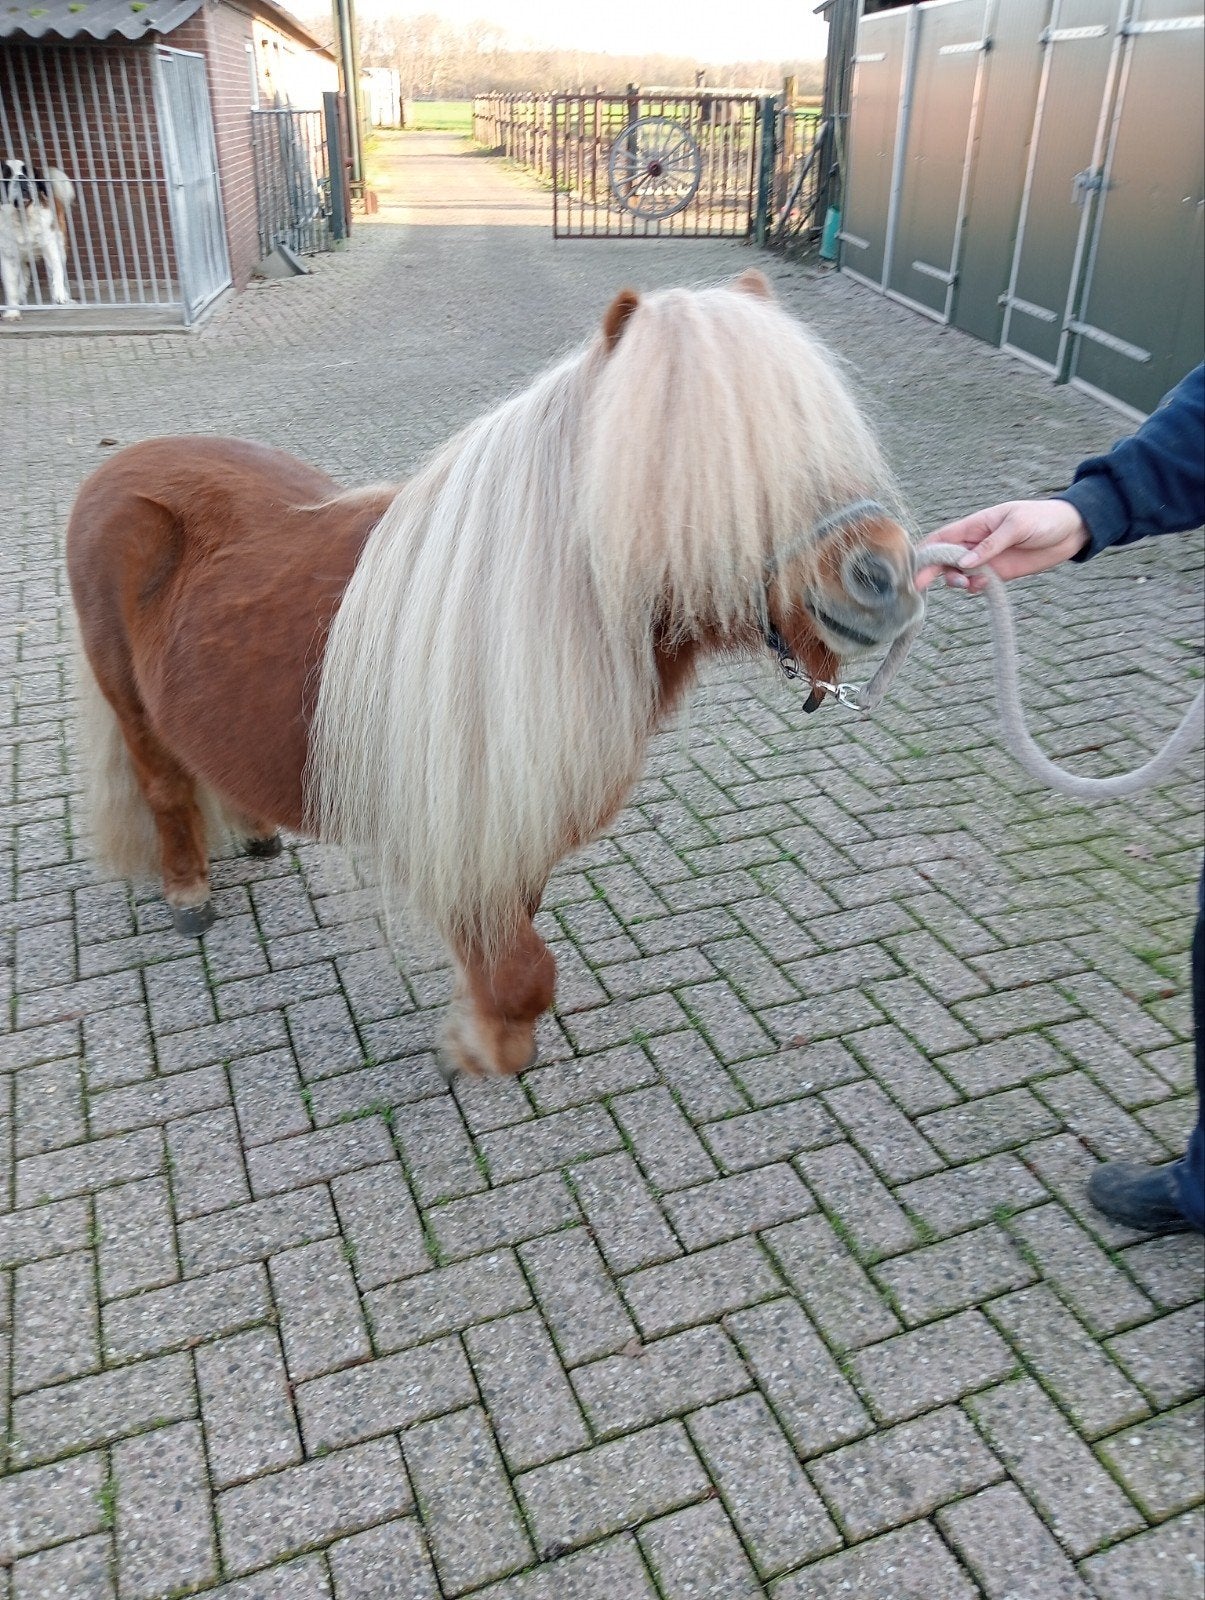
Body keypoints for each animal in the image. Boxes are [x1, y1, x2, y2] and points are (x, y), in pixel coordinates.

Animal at [67, 270, 922, 1078]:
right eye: (705, 447)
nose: (883, 576)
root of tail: (125, 462)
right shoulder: (459, 841)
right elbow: (522, 968)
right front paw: (482, 1050)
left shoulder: (515, 835)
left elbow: (517, 944)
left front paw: (483, 1029)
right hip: (128, 699)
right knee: (166, 787)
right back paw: (188, 893)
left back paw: (254, 833)